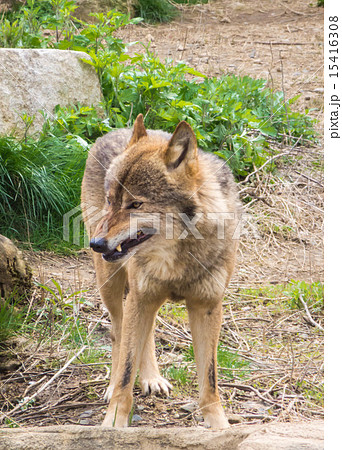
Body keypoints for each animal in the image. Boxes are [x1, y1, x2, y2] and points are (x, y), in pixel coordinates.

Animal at [81, 113, 240, 428]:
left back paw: (152, 378)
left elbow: (210, 378)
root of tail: (114, 131)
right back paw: (113, 384)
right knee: (118, 334)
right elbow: (126, 371)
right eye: (111, 200)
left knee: (148, 330)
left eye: (135, 204)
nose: (96, 243)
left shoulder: (207, 306)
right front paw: (113, 423)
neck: (178, 258)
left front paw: (219, 426)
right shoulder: (140, 297)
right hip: (113, 286)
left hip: (143, 297)